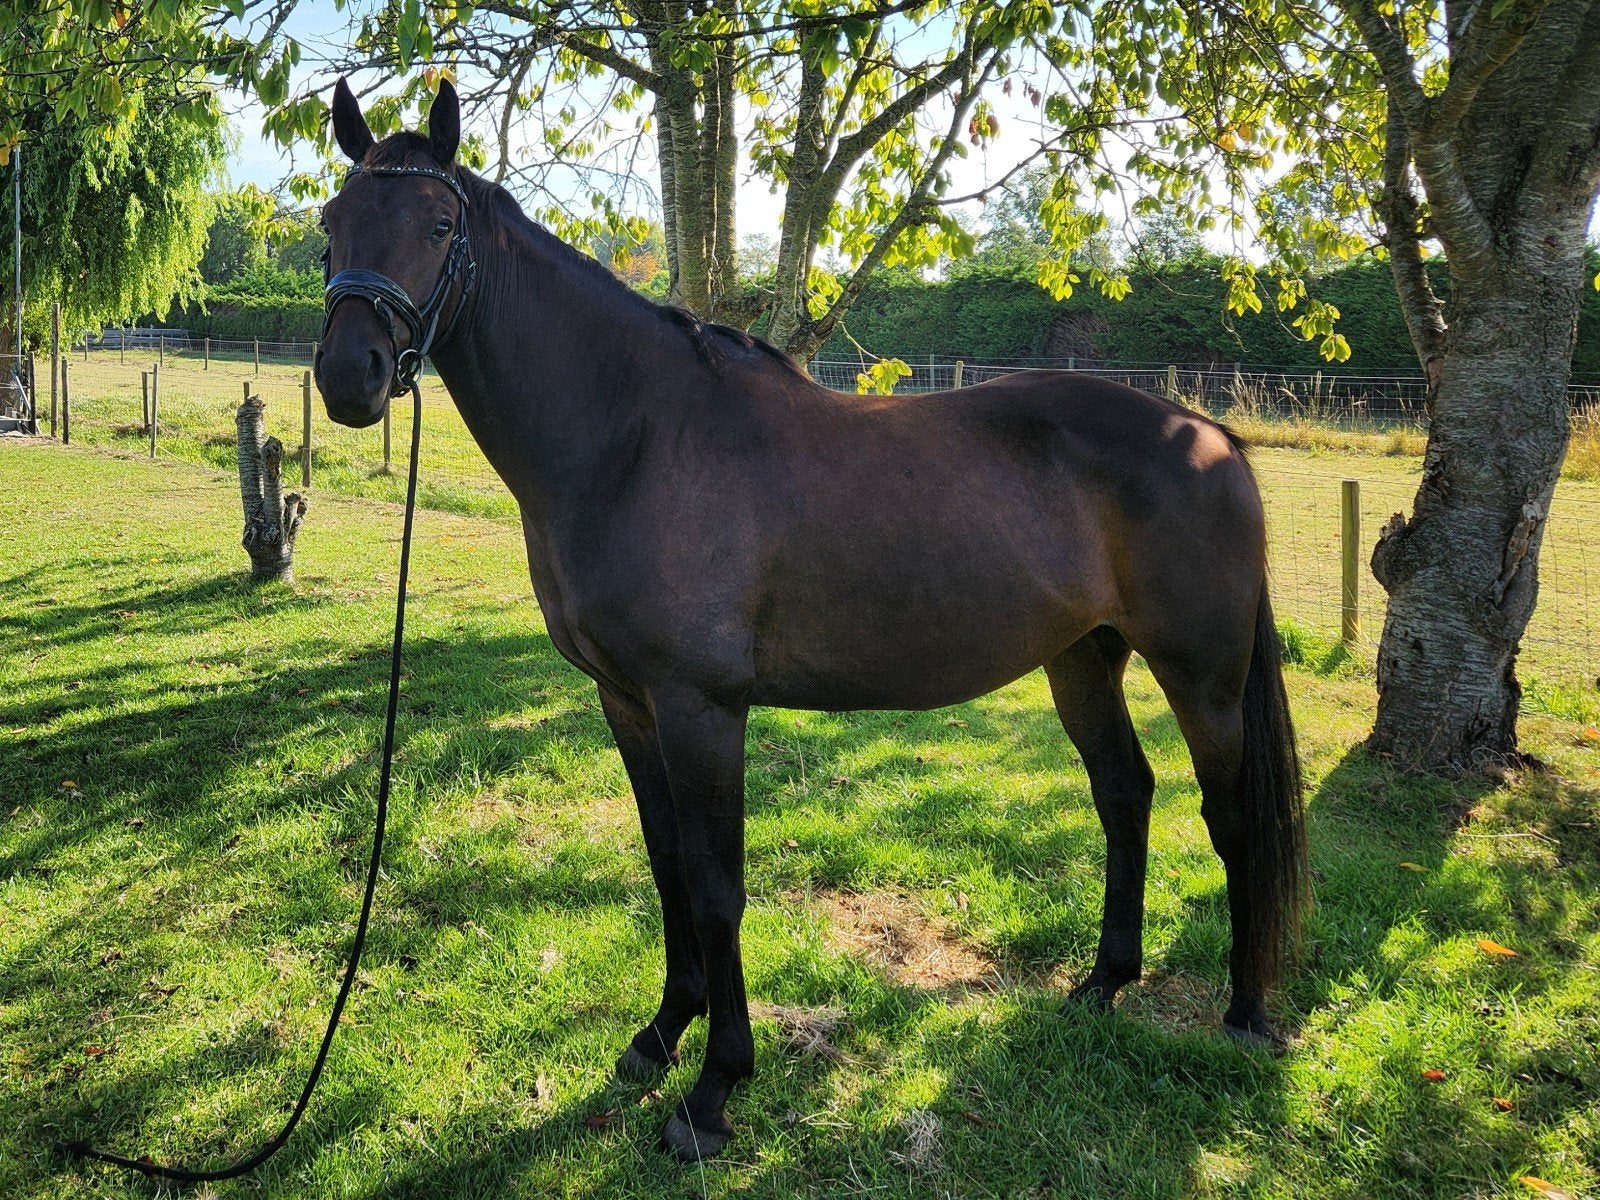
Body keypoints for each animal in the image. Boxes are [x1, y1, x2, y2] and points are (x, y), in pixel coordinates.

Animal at [314, 78, 1308, 1161]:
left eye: (439, 223)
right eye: (331, 225)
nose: (350, 374)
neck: (636, 438)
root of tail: (1209, 434)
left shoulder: (702, 708)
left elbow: (715, 884)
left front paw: (712, 1093)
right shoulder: (627, 702)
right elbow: (666, 865)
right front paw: (659, 1036)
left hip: (1202, 675)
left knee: (1231, 818)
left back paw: (1245, 1017)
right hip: (1083, 659)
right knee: (1124, 793)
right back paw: (1101, 985)